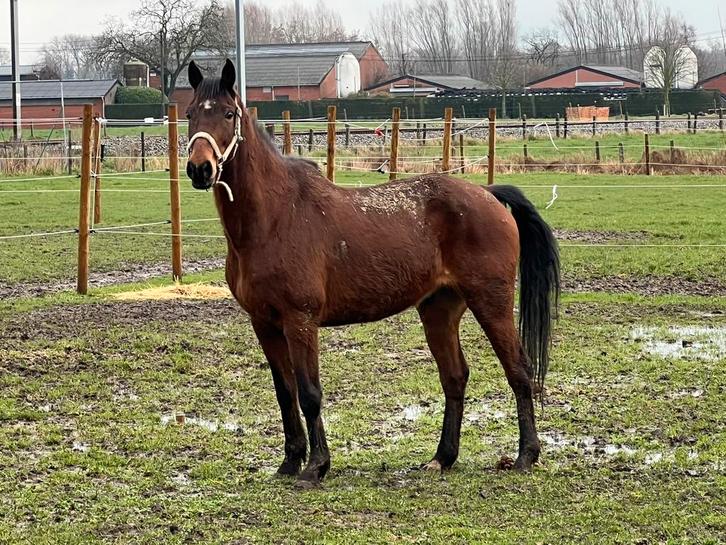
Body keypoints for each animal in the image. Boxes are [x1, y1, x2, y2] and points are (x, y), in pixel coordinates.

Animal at [185, 59, 560, 488]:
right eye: (190, 113)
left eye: (228, 114)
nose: (200, 169)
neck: (276, 217)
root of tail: (489, 194)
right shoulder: (264, 323)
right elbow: (285, 393)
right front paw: (290, 461)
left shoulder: (300, 321)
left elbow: (309, 392)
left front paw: (316, 466)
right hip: (438, 310)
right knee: (454, 376)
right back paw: (442, 458)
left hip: (492, 303)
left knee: (518, 371)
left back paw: (526, 454)